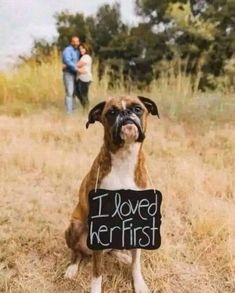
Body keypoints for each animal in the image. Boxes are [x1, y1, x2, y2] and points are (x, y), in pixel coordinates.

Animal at [64, 94, 160, 290]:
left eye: (137, 108)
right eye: (111, 113)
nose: (126, 113)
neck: (124, 158)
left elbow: (136, 263)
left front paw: (139, 284)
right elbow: (97, 273)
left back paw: (121, 256)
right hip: (75, 226)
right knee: (77, 252)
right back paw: (72, 267)